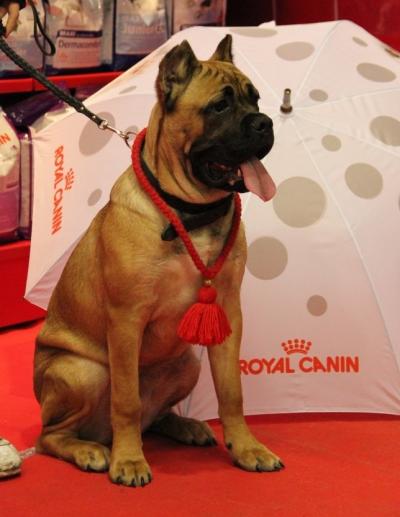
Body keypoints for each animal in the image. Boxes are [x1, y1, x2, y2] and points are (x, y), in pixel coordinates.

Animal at [33, 34, 282, 487]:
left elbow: (232, 392)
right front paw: (129, 460)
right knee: (51, 435)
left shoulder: (228, 313)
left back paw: (184, 425)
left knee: (154, 416)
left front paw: (247, 448)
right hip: (83, 372)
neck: (189, 212)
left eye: (254, 99)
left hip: (185, 365)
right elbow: (127, 401)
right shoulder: (126, 318)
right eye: (219, 106)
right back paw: (89, 450)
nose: (265, 123)